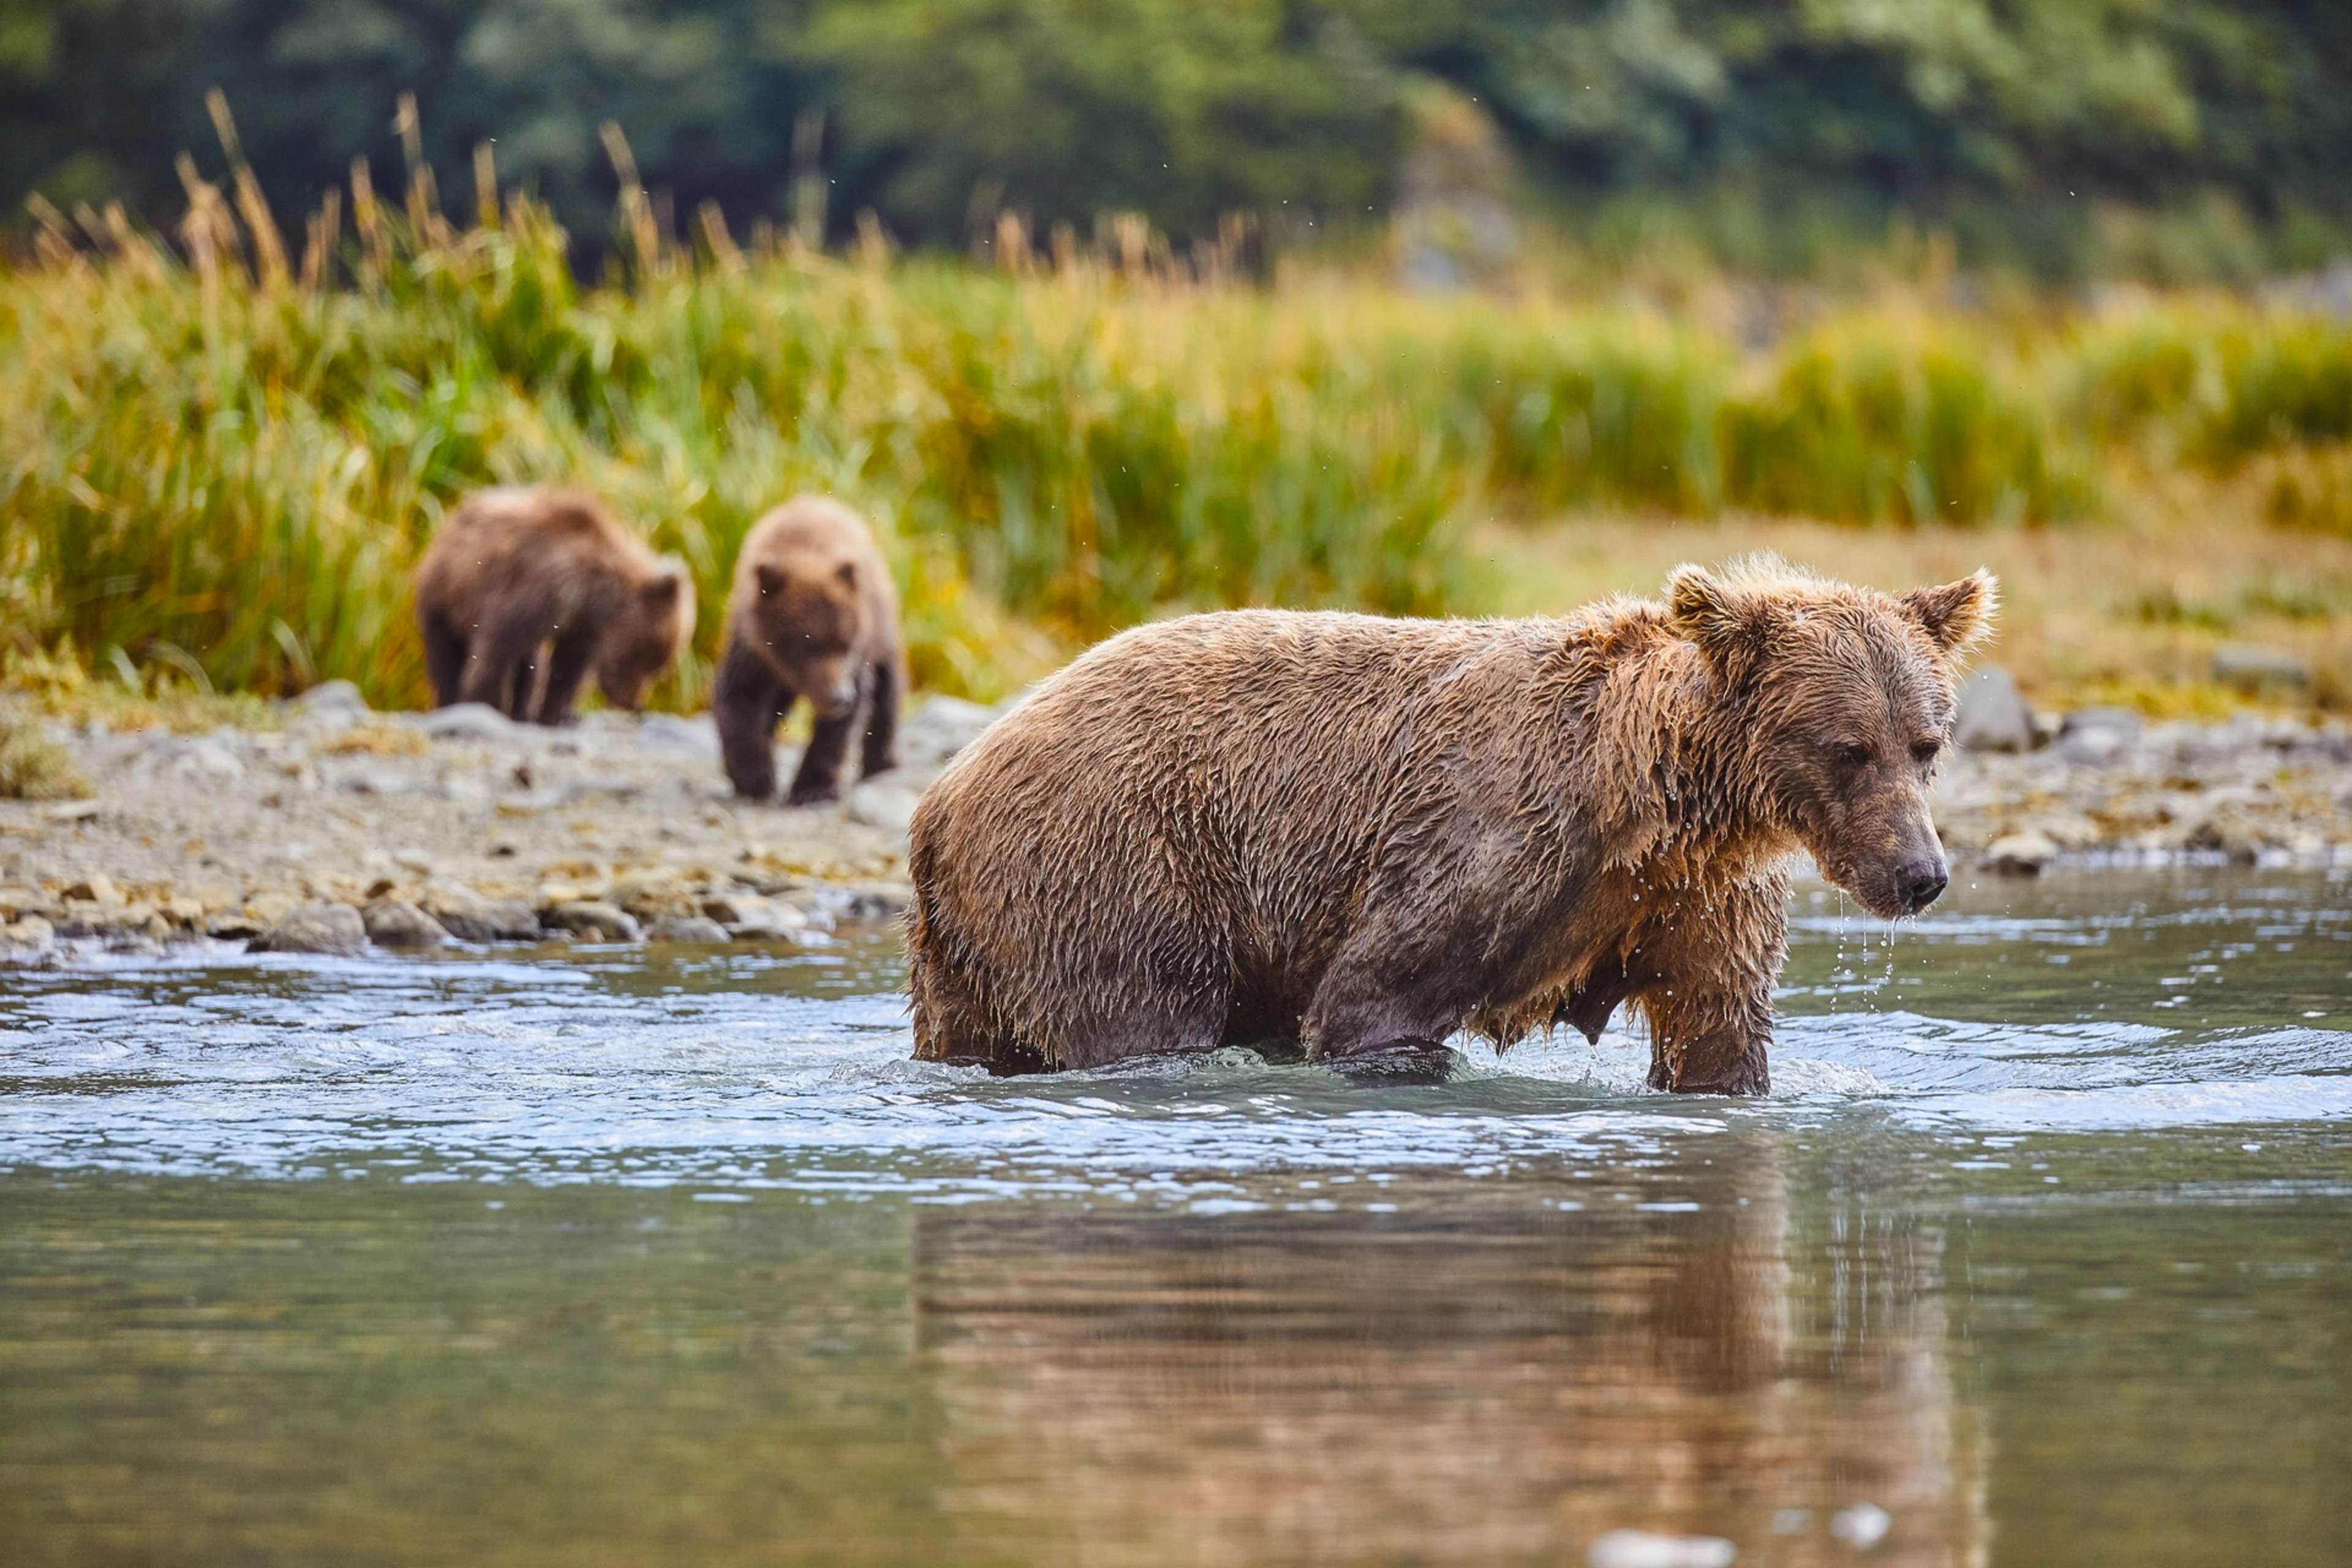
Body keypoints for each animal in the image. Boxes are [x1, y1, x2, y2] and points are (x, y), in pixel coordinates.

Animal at [414, 486, 694, 724]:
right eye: (651, 656)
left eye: (660, 665)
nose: (635, 703)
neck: (588, 595)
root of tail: (450, 522)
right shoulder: (535, 590)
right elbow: (496, 648)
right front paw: (483, 703)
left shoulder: (581, 625)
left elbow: (567, 667)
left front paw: (558, 715)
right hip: (443, 597)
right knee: (446, 656)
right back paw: (450, 701)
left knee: (530, 663)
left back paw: (521, 710)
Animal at [712, 495, 905, 805]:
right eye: (807, 643)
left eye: (846, 642)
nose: (840, 697)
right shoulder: (752, 651)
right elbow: (739, 697)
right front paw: (755, 777)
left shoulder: (857, 660)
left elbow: (841, 726)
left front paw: (813, 787)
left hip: (883, 629)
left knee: (886, 692)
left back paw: (881, 764)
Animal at [906, 559, 1994, 1095]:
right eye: (1849, 748)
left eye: (1925, 742)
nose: (1920, 874)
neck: (1655, 805)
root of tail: (941, 794)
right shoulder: (1490, 841)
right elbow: (1373, 998)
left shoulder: (1698, 895)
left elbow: (1717, 1028)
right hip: (1116, 860)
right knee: (1144, 1010)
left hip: (969, 945)